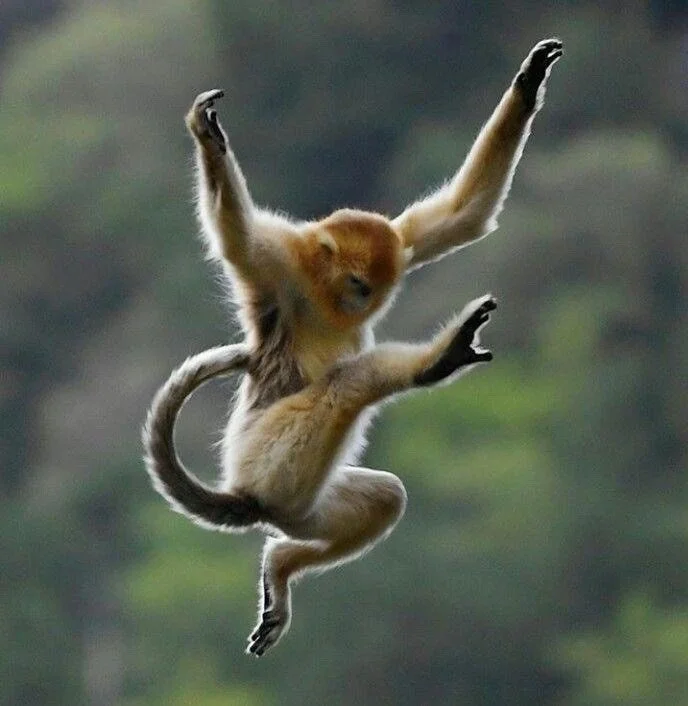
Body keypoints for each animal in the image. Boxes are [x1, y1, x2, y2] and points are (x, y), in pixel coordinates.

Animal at [143, 39, 562, 656]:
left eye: (376, 288)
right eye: (359, 285)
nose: (366, 303)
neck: (321, 294)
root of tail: (253, 499)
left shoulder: (398, 244)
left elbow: (463, 216)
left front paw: (529, 82)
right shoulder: (281, 268)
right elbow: (237, 239)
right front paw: (208, 136)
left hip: (309, 504)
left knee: (384, 495)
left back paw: (282, 564)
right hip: (267, 461)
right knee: (349, 385)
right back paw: (440, 359)